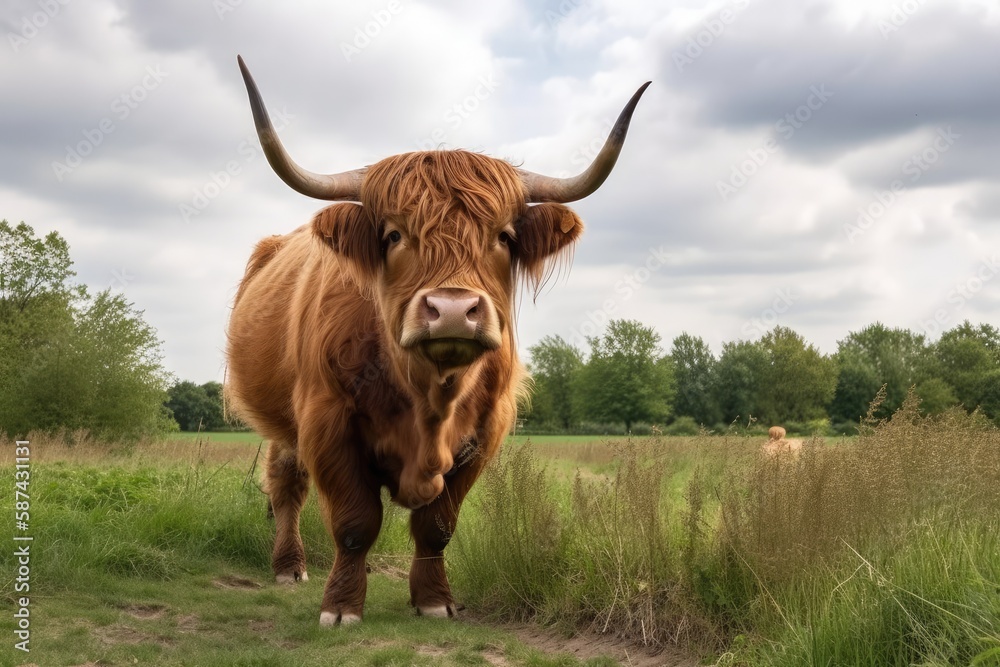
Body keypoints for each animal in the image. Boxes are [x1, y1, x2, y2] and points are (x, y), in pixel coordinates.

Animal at [225, 57, 648, 628]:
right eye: (393, 235)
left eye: (504, 237)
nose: (452, 310)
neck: (429, 399)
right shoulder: (326, 419)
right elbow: (355, 523)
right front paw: (341, 608)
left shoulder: (484, 432)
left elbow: (437, 526)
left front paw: (433, 600)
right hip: (284, 421)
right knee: (286, 484)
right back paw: (289, 567)